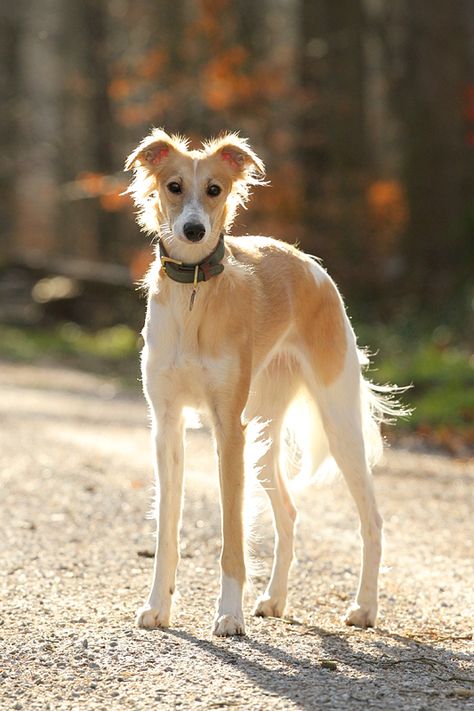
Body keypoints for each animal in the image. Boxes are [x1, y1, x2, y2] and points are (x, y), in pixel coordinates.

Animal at [124, 129, 402, 640]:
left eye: (214, 189)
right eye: (174, 186)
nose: (193, 231)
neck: (195, 292)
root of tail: (307, 263)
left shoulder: (227, 429)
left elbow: (232, 536)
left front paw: (228, 615)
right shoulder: (167, 426)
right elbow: (167, 530)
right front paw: (157, 607)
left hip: (337, 423)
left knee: (371, 518)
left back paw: (365, 607)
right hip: (263, 435)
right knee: (289, 512)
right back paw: (275, 599)